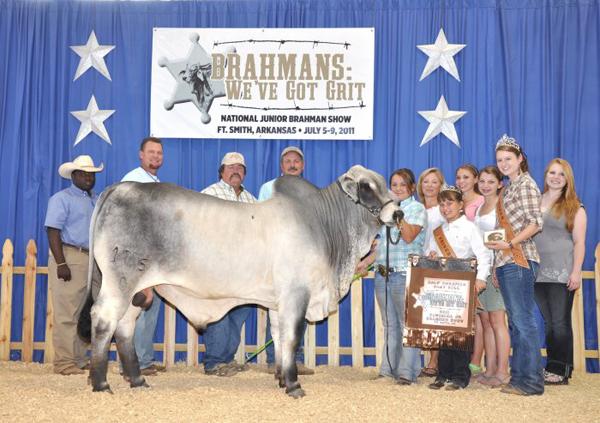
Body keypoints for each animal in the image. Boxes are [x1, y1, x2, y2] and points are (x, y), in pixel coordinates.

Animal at [77, 165, 400, 398]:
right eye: (366, 186)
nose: (397, 212)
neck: (324, 225)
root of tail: (121, 187)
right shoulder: (296, 295)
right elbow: (292, 337)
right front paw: (294, 386)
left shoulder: (277, 303)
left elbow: (279, 337)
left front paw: (281, 379)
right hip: (120, 281)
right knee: (104, 319)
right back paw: (101, 383)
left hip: (137, 289)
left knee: (125, 327)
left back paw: (137, 380)